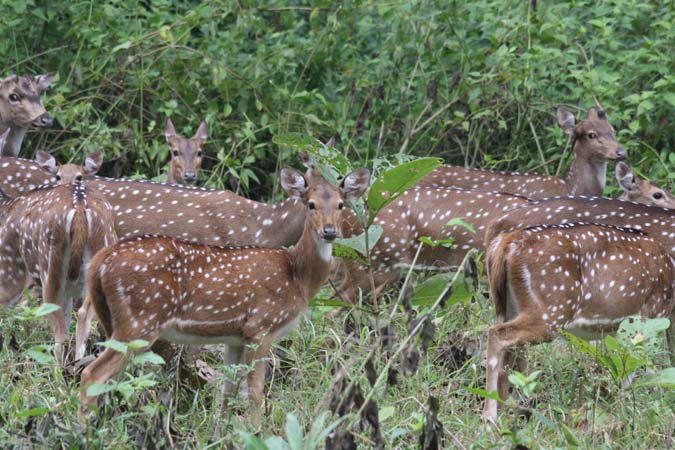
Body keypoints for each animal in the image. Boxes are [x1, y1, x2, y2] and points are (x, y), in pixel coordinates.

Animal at [79, 164, 372, 422]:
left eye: (341, 205)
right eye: (310, 204)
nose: (329, 231)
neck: (296, 276)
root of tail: (101, 262)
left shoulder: (235, 337)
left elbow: (227, 391)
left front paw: (219, 432)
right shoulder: (261, 326)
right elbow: (255, 392)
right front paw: (256, 431)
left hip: (117, 322)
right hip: (140, 321)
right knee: (93, 374)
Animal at [486, 223, 675, 424]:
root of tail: (505, 242)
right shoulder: (653, 315)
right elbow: (647, 370)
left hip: (507, 306)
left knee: (507, 360)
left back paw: (506, 415)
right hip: (551, 310)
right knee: (496, 334)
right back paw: (489, 419)